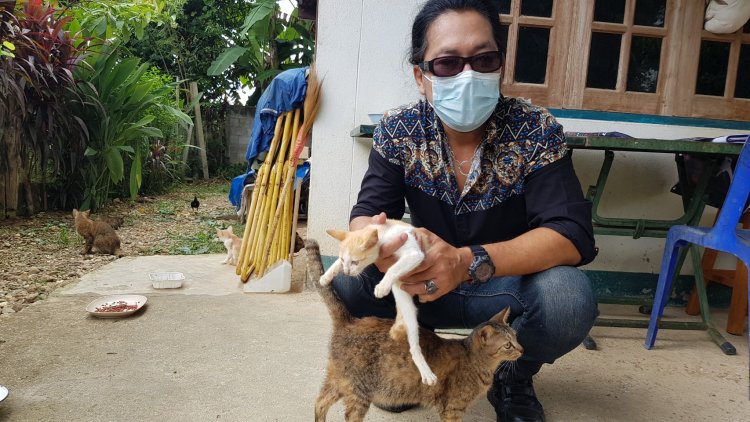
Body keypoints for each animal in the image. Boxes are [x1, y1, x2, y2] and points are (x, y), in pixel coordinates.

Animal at [306, 241, 524, 422]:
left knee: (319, 401)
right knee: (347, 414)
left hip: (340, 380)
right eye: (508, 345)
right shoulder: (453, 408)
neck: (478, 362)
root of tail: (350, 320)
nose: (522, 350)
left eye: (516, 337)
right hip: (358, 390)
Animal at [322, 221, 438, 386]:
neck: (383, 233)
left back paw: (426, 372)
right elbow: (336, 263)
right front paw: (326, 276)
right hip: (405, 304)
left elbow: (393, 268)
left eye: (355, 262)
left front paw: (382, 287)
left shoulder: (414, 254)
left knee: (414, 347)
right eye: (344, 260)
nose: (347, 272)